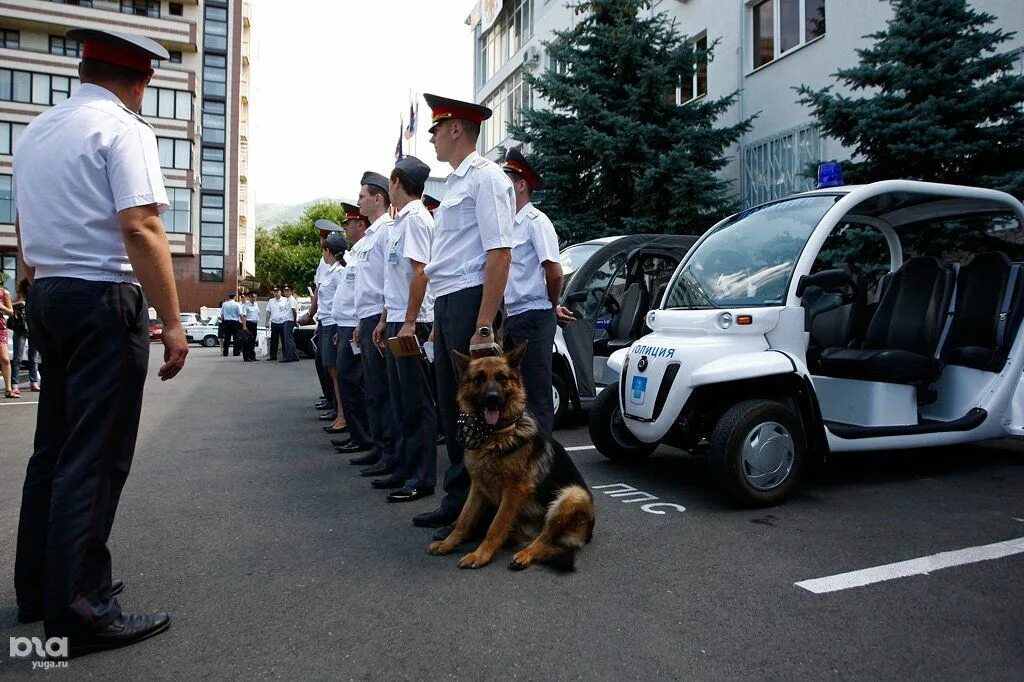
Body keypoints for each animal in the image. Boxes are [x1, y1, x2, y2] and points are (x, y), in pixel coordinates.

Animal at [428, 342, 598, 569]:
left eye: (502, 378)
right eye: (479, 378)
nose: (492, 398)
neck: (493, 436)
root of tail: (587, 534)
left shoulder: (515, 490)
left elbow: (496, 526)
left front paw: (480, 555)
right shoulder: (478, 487)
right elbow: (464, 519)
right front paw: (447, 543)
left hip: (573, 495)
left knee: (544, 539)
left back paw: (524, 555)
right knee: (533, 536)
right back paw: (512, 539)